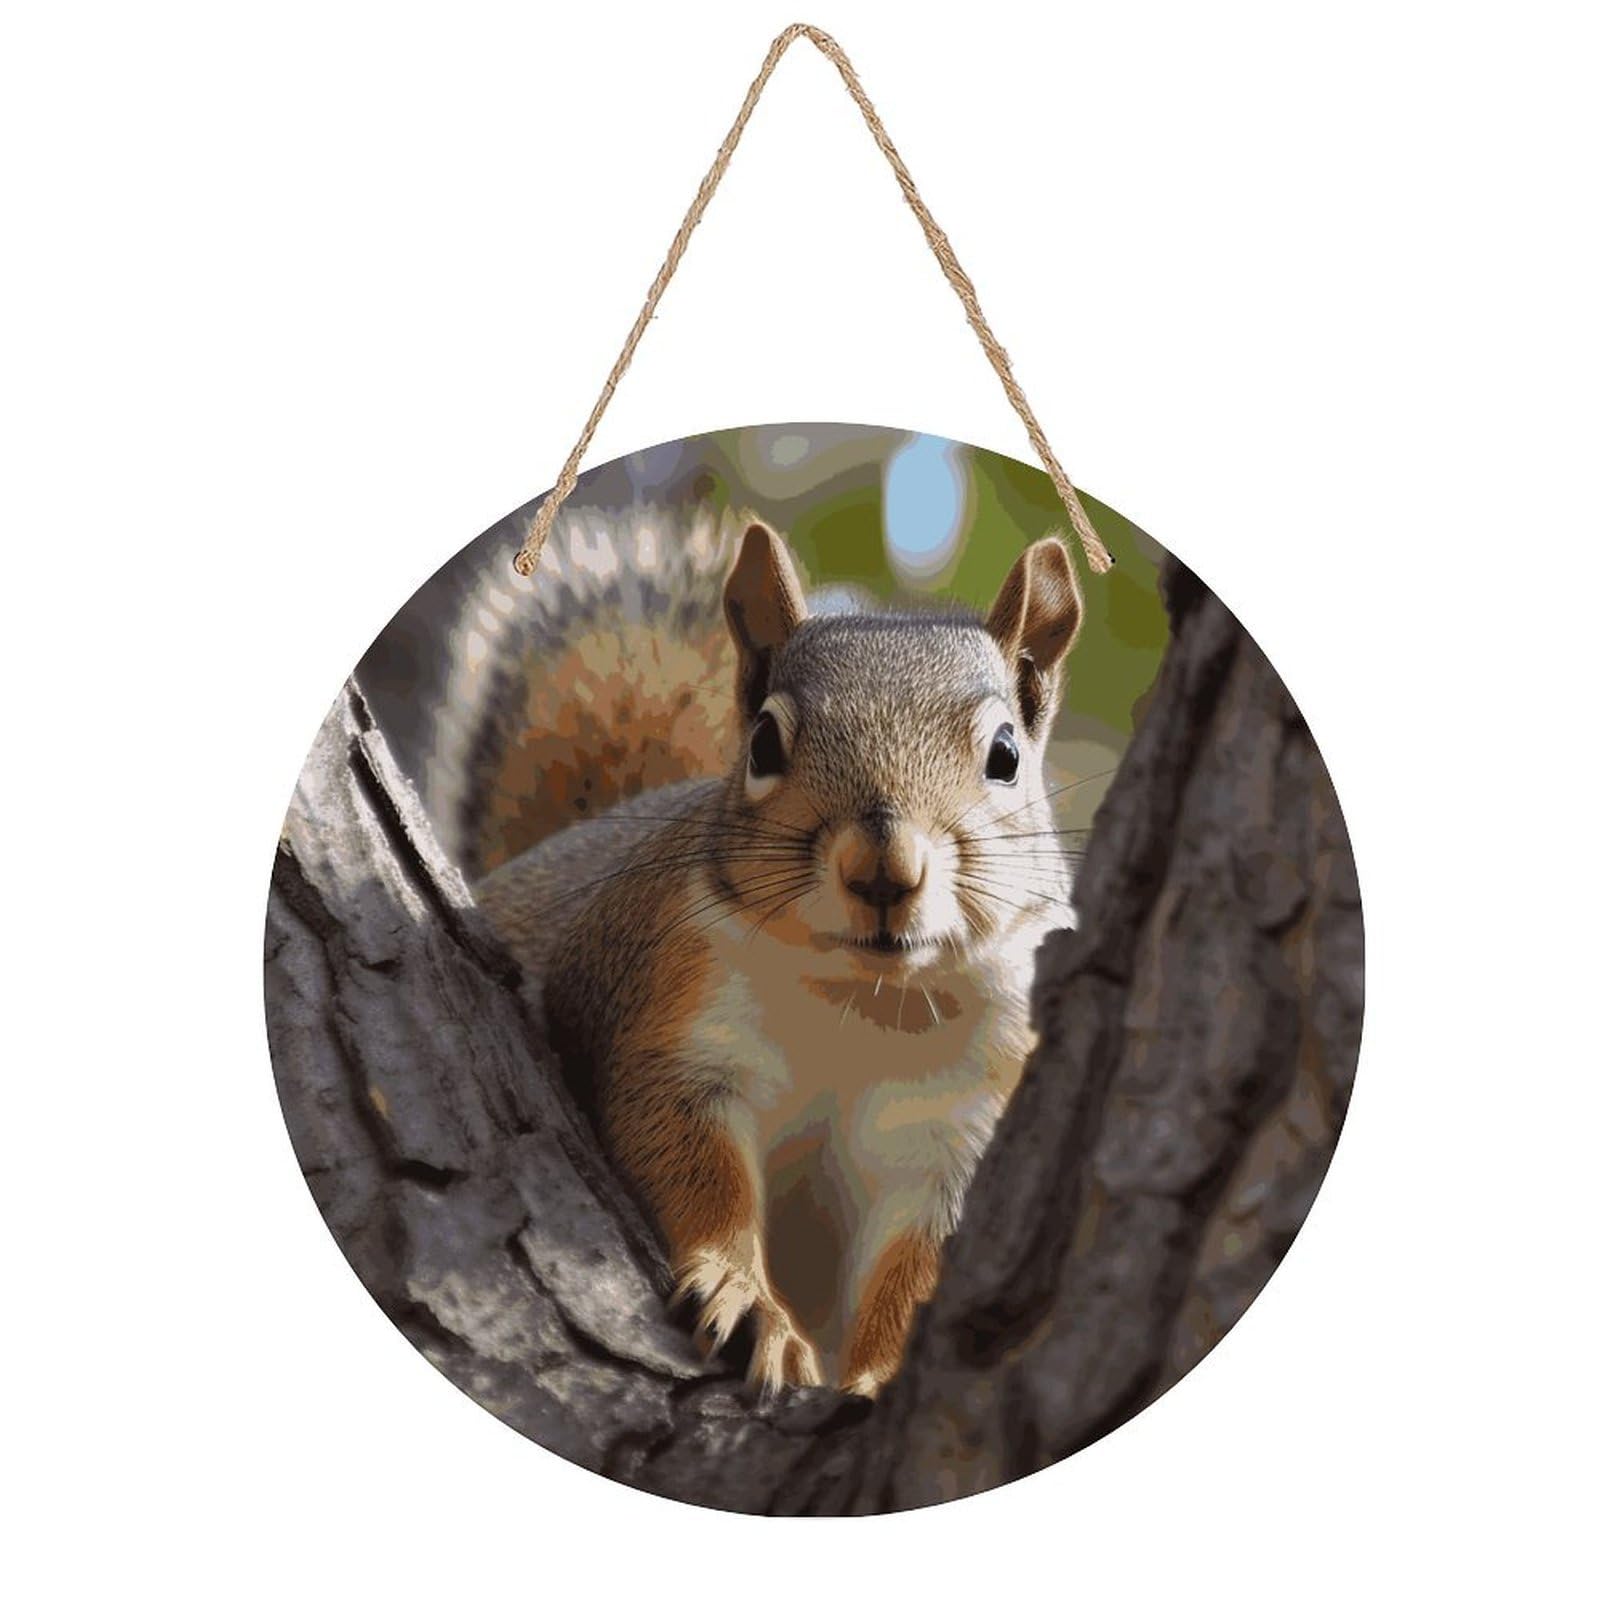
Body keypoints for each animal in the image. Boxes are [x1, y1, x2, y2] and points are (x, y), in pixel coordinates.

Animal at [461, 503, 1085, 1398]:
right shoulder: (679, 1022)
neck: (867, 1001)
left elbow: (921, 1264)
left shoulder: (963, 1121)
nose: (884, 869)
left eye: (1005, 755)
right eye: (763, 743)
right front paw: (747, 1299)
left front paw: (881, 1376)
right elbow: (692, 1163)